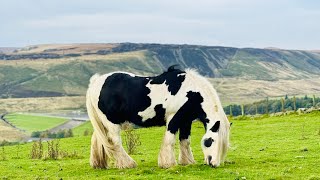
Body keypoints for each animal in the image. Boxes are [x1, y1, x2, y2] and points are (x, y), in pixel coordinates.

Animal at [85, 65, 230, 169]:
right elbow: (170, 140)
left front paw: (187, 162)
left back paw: (99, 164)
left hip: (103, 123)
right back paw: (128, 164)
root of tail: (95, 82)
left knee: (99, 140)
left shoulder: (186, 121)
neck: (190, 92)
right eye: (211, 141)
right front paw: (168, 163)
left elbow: (185, 141)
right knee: (114, 142)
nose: (214, 163)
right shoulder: (173, 119)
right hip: (111, 122)